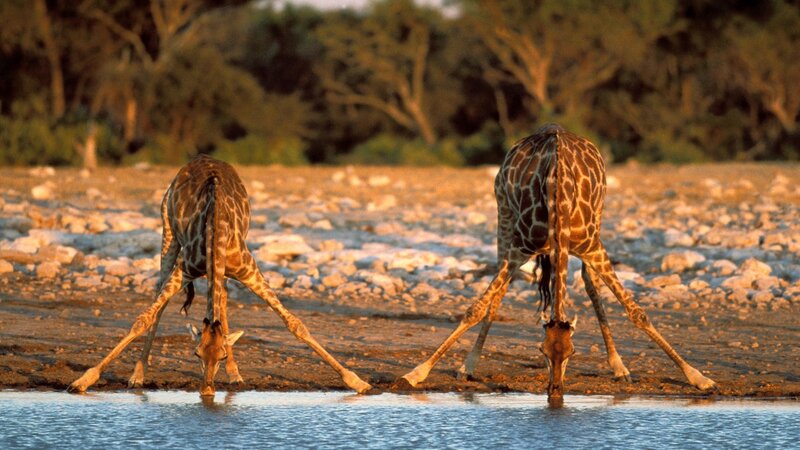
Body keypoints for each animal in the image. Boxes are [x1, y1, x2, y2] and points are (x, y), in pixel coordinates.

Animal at [68, 154, 373, 396]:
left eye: (222, 354)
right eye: (195, 353)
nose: (207, 390)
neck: (216, 229)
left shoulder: (248, 269)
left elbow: (295, 324)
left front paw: (357, 382)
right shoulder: (186, 269)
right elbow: (143, 319)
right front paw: (83, 381)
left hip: (220, 268)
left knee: (222, 301)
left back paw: (236, 374)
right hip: (168, 232)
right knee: (160, 296)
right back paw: (138, 375)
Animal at [397, 124, 716, 400]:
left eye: (572, 353)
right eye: (542, 351)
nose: (555, 391)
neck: (559, 196)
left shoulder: (593, 247)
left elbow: (637, 313)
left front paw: (699, 377)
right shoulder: (519, 248)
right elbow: (474, 309)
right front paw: (416, 373)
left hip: (598, 219)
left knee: (589, 282)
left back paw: (619, 367)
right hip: (504, 212)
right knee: (500, 288)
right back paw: (469, 365)